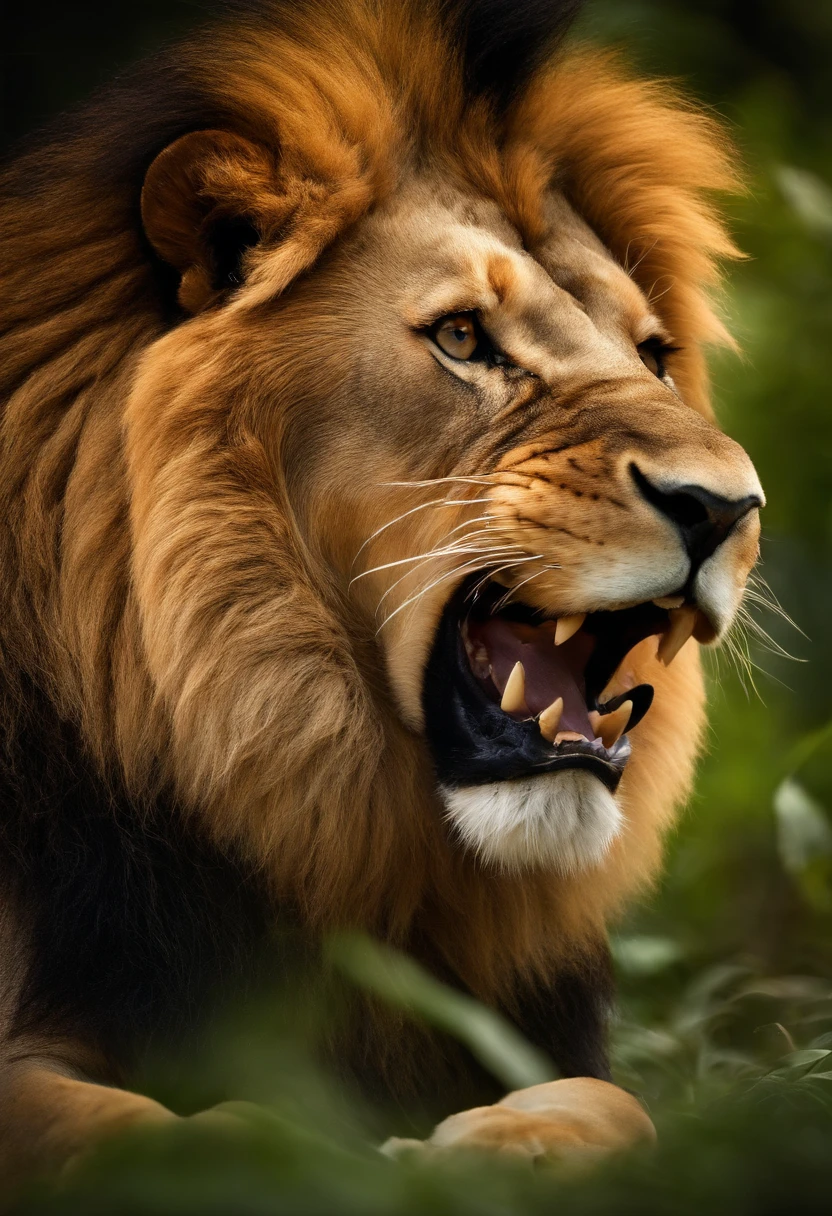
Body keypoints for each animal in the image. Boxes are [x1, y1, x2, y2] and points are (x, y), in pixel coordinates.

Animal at [0, 0, 763, 1177]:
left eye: (652, 354)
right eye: (461, 336)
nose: (725, 508)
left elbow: (613, 1105)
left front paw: (493, 1148)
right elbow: (127, 1129)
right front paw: (294, 1147)